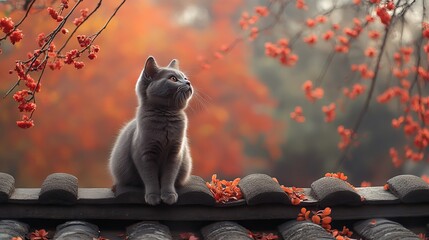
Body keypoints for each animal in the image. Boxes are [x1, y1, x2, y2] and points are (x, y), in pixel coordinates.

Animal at [108, 55, 193, 204]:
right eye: (173, 79)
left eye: (185, 77)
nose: (188, 82)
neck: (165, 117)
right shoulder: (144, 154)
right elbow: (150, 178)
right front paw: (153, 196)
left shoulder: (175, 153)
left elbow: (169, 177)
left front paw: (169, 195)